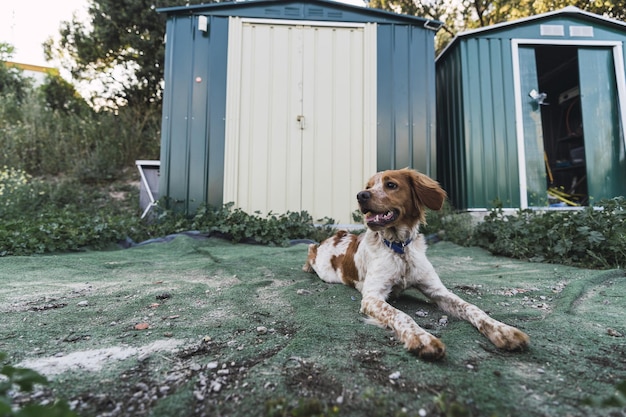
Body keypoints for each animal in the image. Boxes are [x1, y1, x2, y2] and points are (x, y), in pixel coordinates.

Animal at [302, 167, 528, 360]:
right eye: (368, 186)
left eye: (391, 185)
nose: (361, 195)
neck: (400, 248)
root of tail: (339, 235)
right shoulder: (372, 297)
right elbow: (401, 315)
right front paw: (421, 338)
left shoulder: (437, 290)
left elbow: (472, 307)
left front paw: (503, 330)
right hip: (324, 269)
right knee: (311, 248)